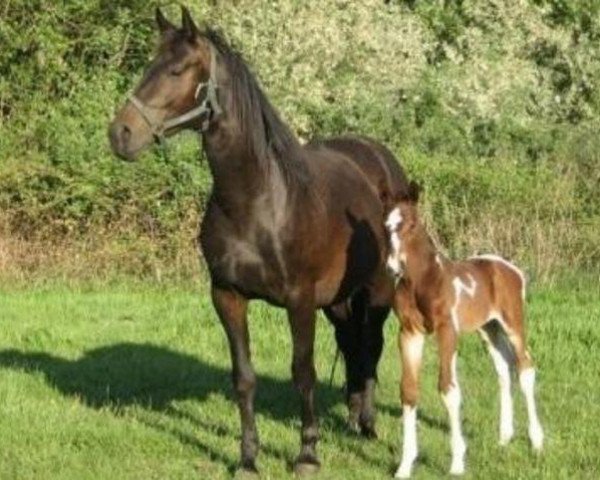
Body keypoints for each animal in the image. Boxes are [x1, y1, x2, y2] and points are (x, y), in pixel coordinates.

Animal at [109, 7, 408, 476]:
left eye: (177, 70)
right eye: (147, 67)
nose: (120, 134)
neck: (257, 200)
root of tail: (380, 159)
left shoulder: (299, 301)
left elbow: (303, 372)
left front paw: (307, 454)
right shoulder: (227, 296)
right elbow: (244, 378)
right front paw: (248, 457)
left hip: (377, 291)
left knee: (371, 348)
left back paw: (367, 423)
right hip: (338, 302)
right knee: (352, 347)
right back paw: (352, 414)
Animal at [384, 183, 544, 476]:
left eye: (411, 224)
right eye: (386, 224)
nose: (393, 267)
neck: (424, 280)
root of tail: (511, 268)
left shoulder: (447, 331)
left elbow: (448, 389)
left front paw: (457, 462)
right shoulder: (409, 333)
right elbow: (409, 391)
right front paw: (404, 465)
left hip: (513, 323)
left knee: (525, 367)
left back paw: (536, 440)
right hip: (489, 329)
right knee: (504, 368)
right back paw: (504, 437)